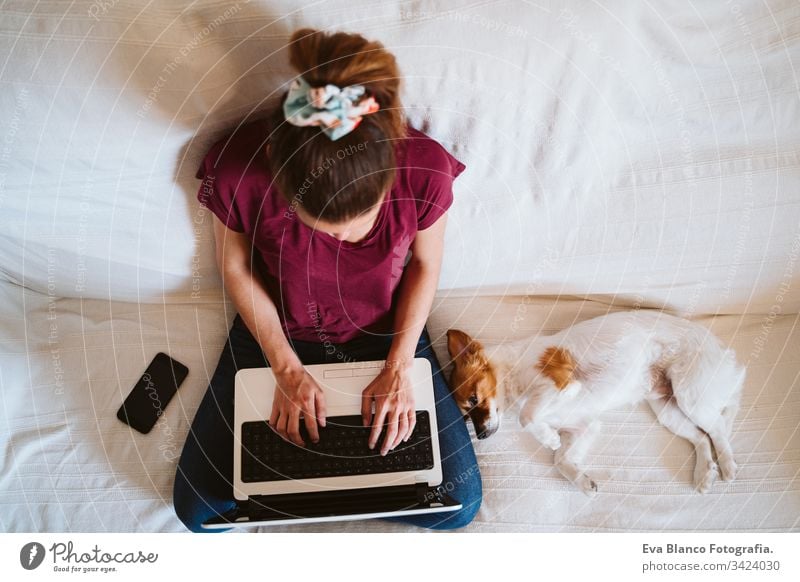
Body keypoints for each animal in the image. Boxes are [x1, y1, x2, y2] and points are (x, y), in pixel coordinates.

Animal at [446, 312, 748, 496]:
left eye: (474, 399)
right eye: (465, 417)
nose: (481, 436)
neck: (512, 373)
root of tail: (725, 351)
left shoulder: (562, 384)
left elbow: (528, 418)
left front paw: (548, 438)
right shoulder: (585, 426)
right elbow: (560, 460)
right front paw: (581, 481)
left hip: (690, 395)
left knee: (717, 429)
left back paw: (727, 465)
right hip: (666, 409)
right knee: (700, 437)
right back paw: (704, 473)